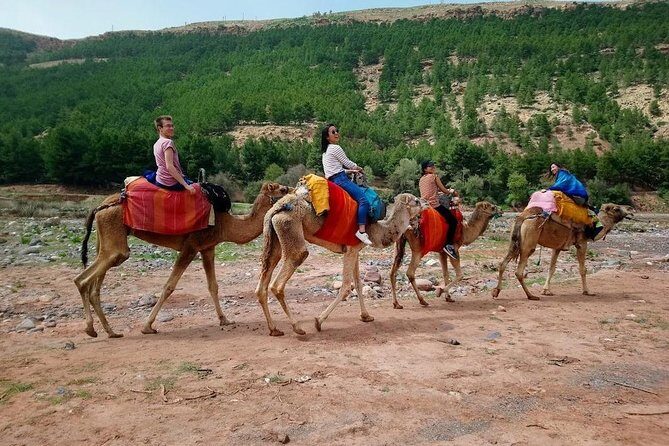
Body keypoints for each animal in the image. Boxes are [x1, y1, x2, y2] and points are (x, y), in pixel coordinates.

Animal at [74, 182, 290, 338]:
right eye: (282, 189)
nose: (292, 191)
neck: (225, 224)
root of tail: (100, 207)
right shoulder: (191, 246)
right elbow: (169, 286)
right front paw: (147, 326)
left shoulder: (208, 248)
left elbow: (213, 286)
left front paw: (224, 319)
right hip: (116, 242)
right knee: (84, 279)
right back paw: (91, 329)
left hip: (106, 239)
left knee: (95, 284)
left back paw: (110, 331)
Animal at [254, 188, 428, 336]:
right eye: (416, 201)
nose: (426, 202)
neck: (376, 230)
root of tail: (278, 207)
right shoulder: (351, 250)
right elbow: (345, 287)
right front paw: (318, 321)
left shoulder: (354, 250)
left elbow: (358, 283)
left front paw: (366, 316)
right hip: (290, 229)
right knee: (280, 281)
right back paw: (297, 327)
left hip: (273, 239)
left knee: (262, 283)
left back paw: (274, 329)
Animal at [491, 203, 633, 300]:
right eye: (616, 208)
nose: (631, 210)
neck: (592, 226)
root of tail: (523, 217)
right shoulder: (581, 243)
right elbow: (583, 269)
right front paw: (587, 291)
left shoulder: (557, 247)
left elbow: (551, 268)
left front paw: (546, 290)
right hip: (529, 242)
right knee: (519, 271)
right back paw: (531, 296)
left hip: (513, 241)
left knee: (502, 264)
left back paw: (496, 291)